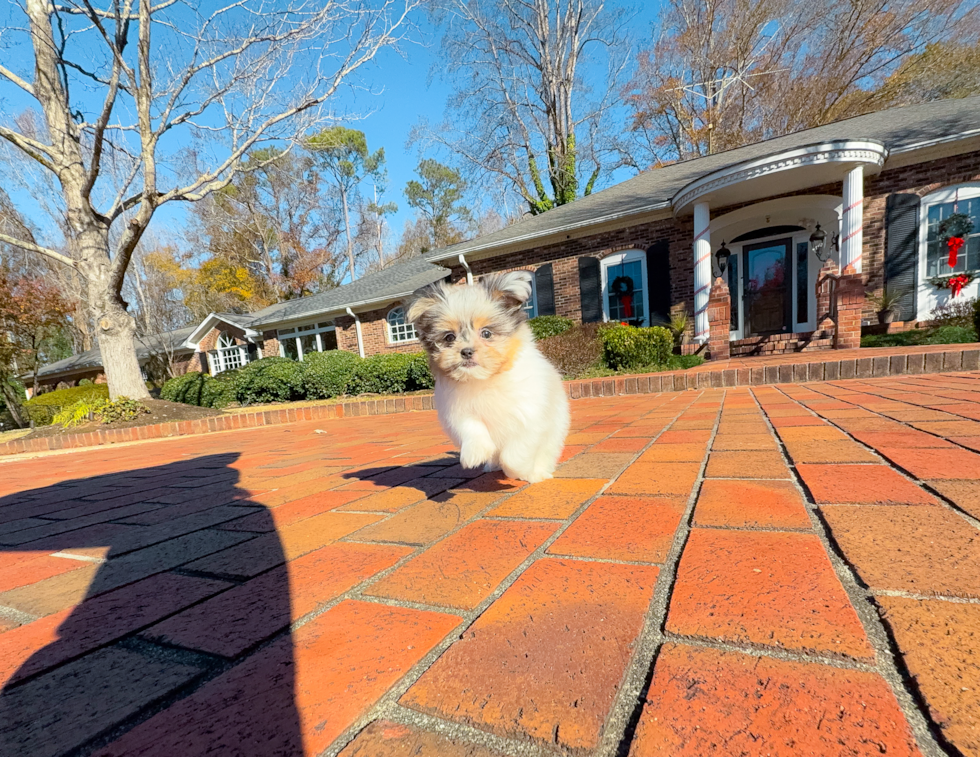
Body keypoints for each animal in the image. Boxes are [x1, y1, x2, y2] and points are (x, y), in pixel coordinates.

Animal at [406, 274, 572, 484]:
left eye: (486, 333)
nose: (466, 351)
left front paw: (518, 471)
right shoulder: (458, 411)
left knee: (546, 452)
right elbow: (471, 428)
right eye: (449, 337)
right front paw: (474, 454)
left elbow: (514, 454)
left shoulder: (528, 415)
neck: (486, 379)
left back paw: (537, 473)